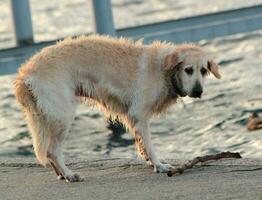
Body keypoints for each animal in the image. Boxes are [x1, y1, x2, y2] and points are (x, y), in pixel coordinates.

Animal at [13, 35, 221, 182]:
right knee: (52, 151)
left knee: (48, 151)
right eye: (188, 70)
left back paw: (61, 174)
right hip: (63, 115)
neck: (164, 70)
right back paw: (69, 174)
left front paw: (151, 162)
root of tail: (26, 73)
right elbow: (150, 146)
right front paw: (160, 166)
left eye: (203, 70)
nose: (198, 91)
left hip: (46, 117)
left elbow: (143, 146)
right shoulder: (139, 115)